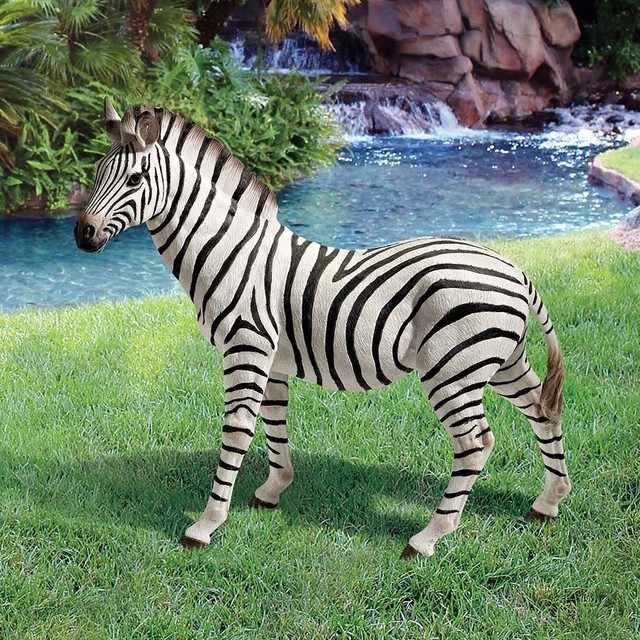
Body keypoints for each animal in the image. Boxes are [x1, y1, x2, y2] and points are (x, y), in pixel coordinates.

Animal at [75, 99, 571, 558]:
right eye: (96, 172)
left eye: (135, 180)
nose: (82, 234)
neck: (230, 250)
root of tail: (516, 270)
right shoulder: (272, 358)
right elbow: (274, 421)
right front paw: (273, 490)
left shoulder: (246, 347)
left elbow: (237, 428)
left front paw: (207, 523)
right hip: (500, 361)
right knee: (543, 409)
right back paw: (549, 502)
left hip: (451, 369)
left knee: (475, 442)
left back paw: (429, 536)